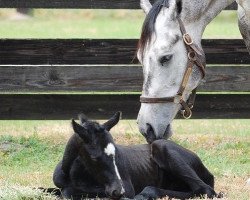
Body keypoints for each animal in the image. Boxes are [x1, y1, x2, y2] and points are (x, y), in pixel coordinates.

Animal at [51, 111, 220, 199]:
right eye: (94, 157)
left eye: (116, 153)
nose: (118, 191)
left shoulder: (126, 187)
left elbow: (70, 192)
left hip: (162, 146)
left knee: (205, 189)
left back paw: (146, 193)